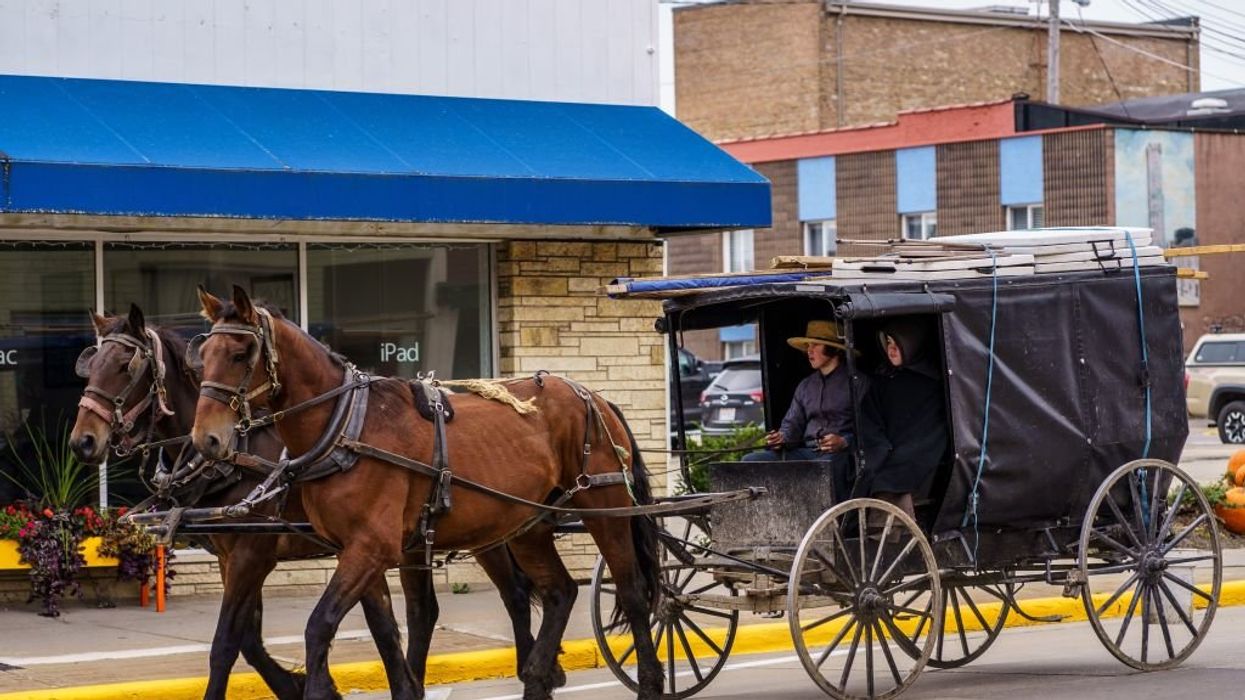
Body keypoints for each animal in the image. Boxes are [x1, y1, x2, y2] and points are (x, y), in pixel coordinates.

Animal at [68, 304, 561, 700]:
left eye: (126, 366)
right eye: (91, 366)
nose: (82, 442)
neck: (241, 451)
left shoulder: (253, 552)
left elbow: (228, 642)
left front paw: (300, 683)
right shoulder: (234, 556)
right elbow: (250, 638)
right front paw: (296, 683)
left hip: (489, 529)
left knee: (515, 594)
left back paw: (536, 668)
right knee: (431, 612)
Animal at [189, 286, 662, 700]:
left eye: (239, 354)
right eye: (201, 362)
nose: (206, 440)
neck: (346, 426)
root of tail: (594, 396)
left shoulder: (366, 548)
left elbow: (318, 626)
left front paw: (319, 688)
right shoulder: (357, 551)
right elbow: (384, 630)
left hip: (605, 508)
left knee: (632, 592)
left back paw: (650, 682)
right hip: (528, 525)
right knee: (560, 592)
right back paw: (535, 679)